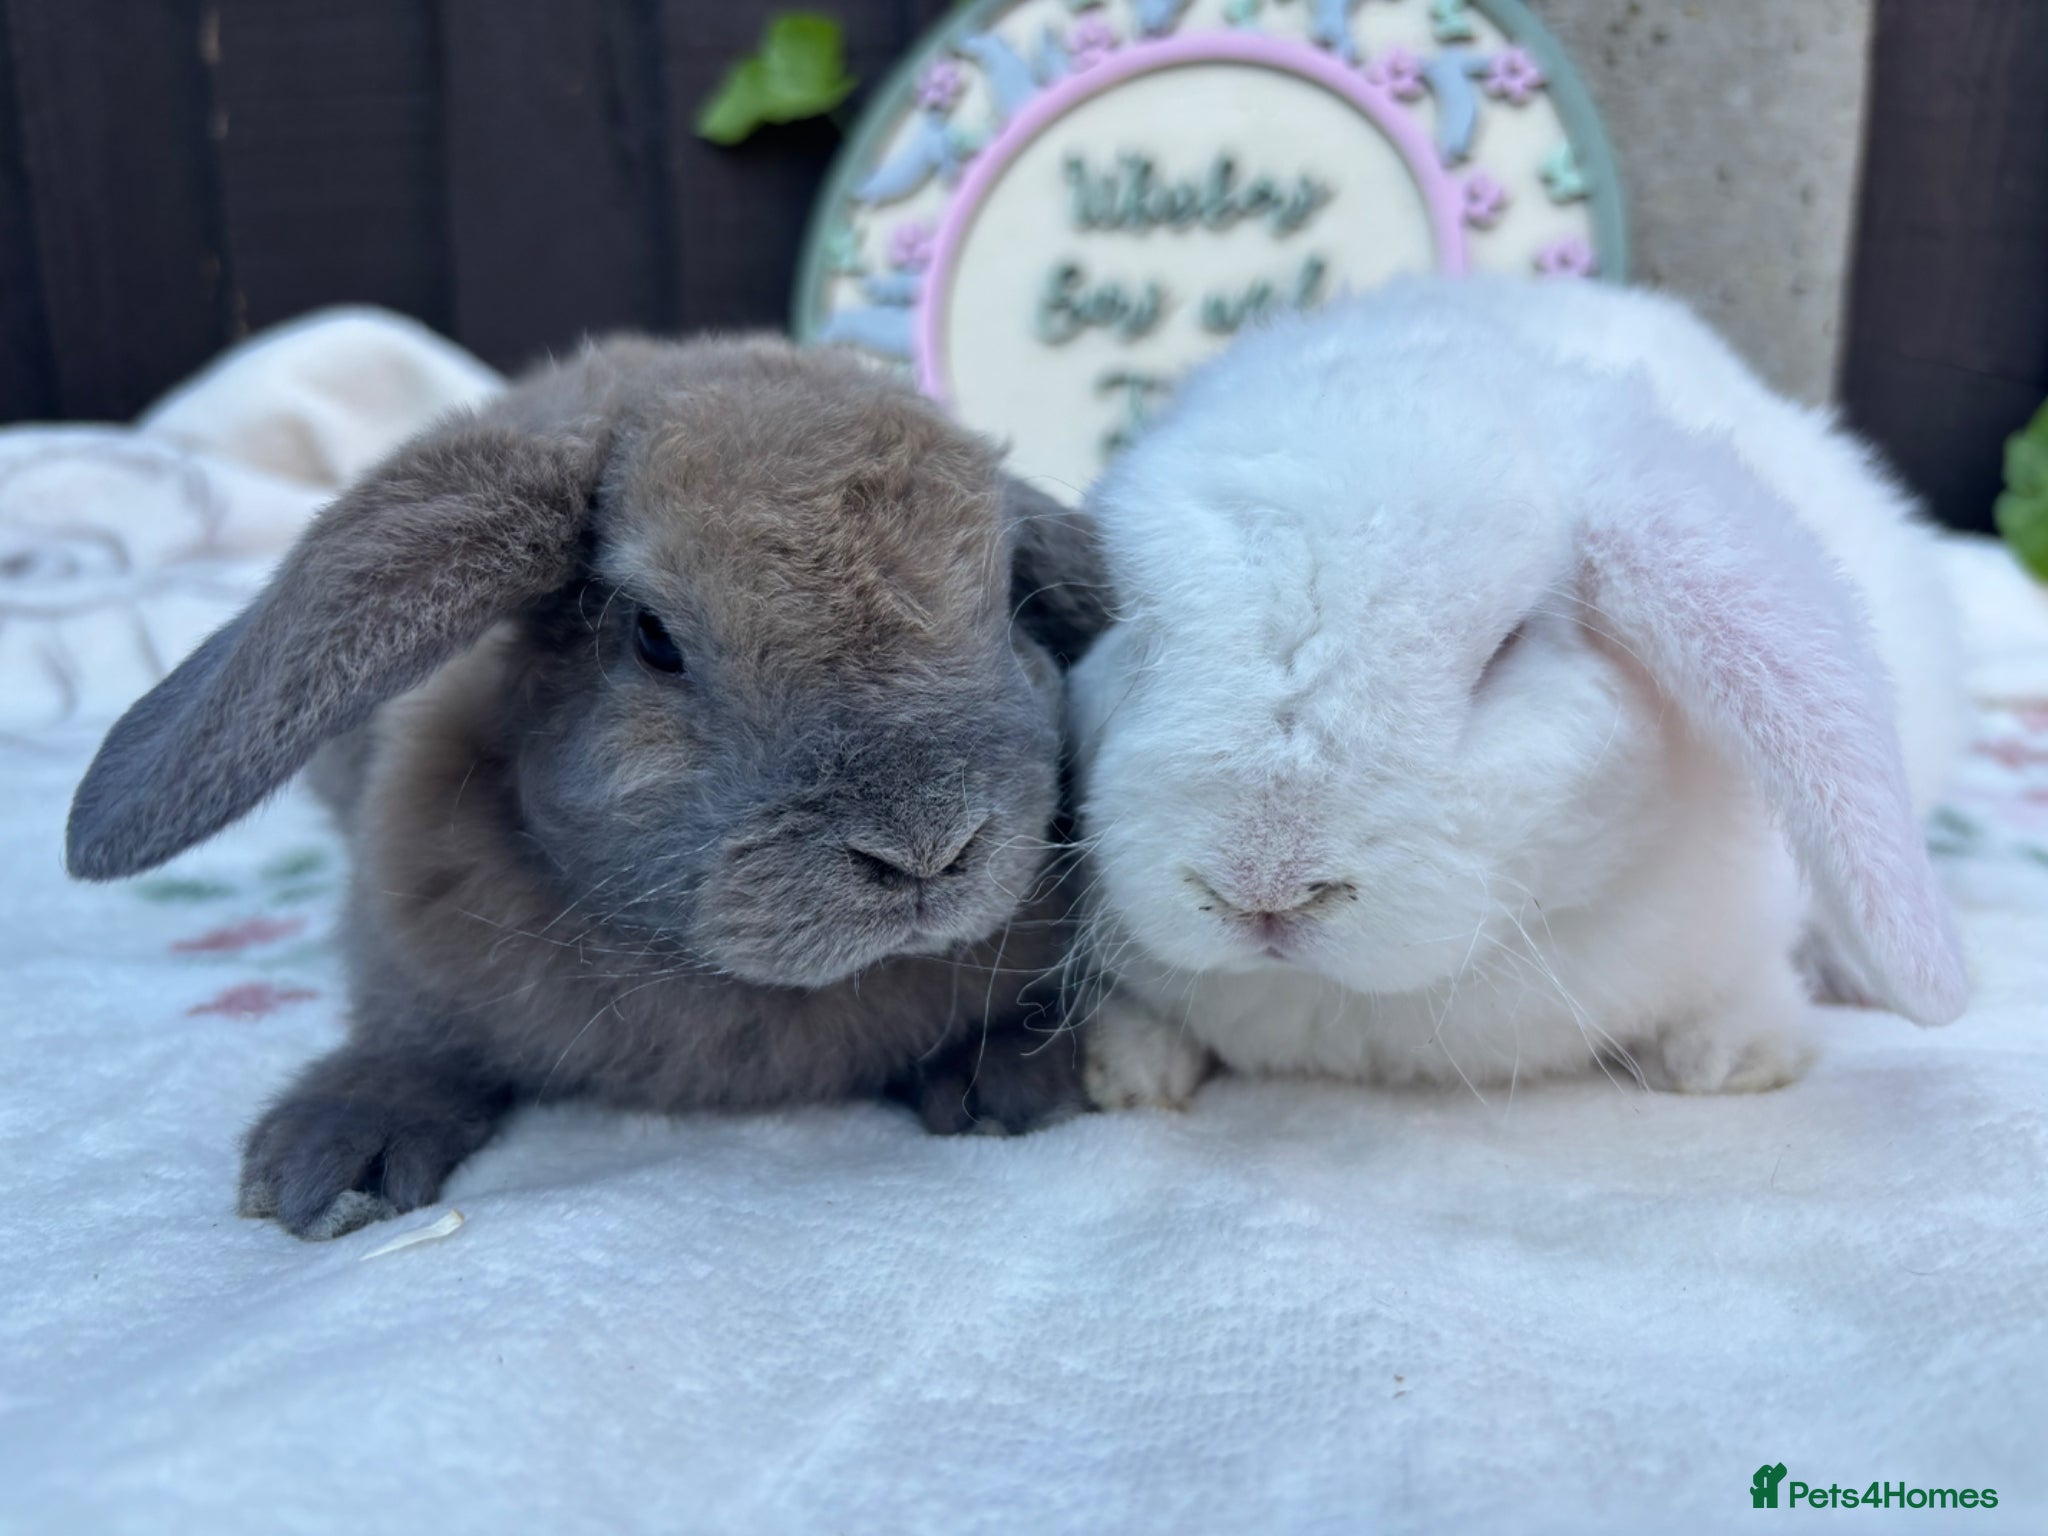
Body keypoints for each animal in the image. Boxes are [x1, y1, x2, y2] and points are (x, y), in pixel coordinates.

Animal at [67, 335, 1113, 1239]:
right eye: (653, 637)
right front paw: (331, 1160)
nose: (927, 845)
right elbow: (412, 1044)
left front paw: (1004, 1081)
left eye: (1012, 605)